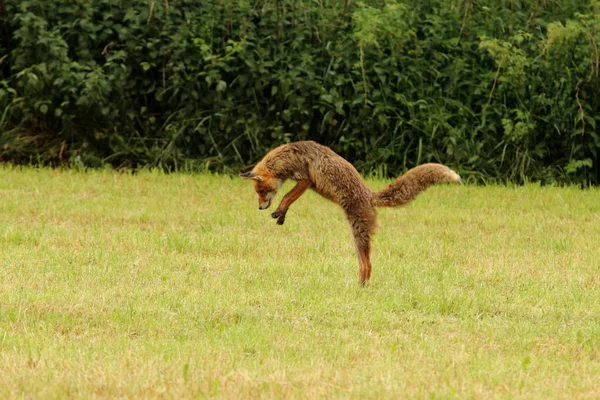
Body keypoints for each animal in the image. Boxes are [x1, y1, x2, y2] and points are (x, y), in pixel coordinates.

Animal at [239, 141, 460, 284]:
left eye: (260, 191)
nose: (260, 207)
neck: (286, 155)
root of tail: (370, 195)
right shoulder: (305, 182)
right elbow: (289, 198)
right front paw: (282, 214)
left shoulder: (305, 179)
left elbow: (287, 197)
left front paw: (280, 211)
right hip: (356, 238)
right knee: (366, 266)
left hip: (358, 233)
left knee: (368, 266)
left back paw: (360, 290)